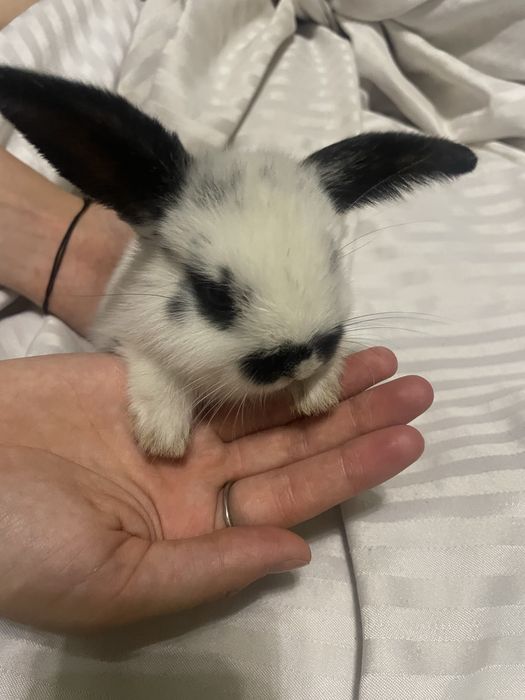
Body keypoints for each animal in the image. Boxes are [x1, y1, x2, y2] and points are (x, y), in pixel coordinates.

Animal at [0, 66, 477, 457]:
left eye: (333, 260)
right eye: (213, 294)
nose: (298, 361)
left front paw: (318, 394)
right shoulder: (125, 332)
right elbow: (152, 367)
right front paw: (164, 438)